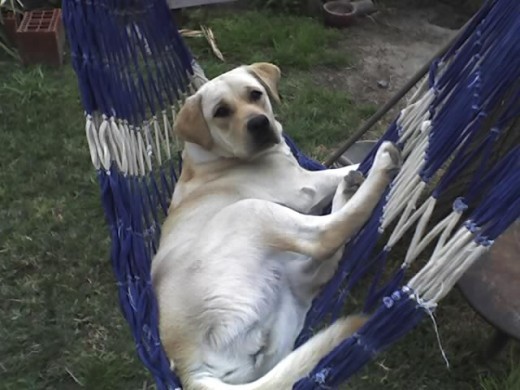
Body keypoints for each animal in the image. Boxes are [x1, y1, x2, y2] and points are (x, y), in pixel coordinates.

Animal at [150, 62, 402, 388]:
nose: (259, 123)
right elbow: (335, 172)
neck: (213, 156)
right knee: (326, 236)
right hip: (250, 212)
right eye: (220, 112)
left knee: (322, 264)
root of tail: (188, 367)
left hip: (288, 299)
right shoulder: (303, 187)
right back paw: (381, 165)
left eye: (255, 94)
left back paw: (349, 189)